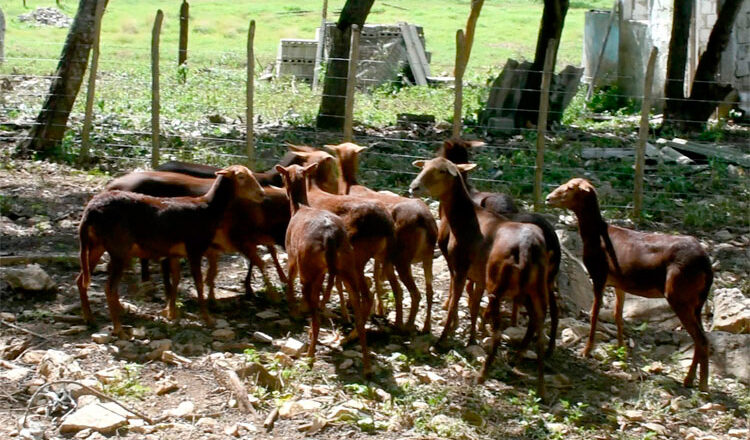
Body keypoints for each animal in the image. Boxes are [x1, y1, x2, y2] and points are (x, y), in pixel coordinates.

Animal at [76, 166, 264, 336]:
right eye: (241, 176)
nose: (261, 193)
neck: (208, 209)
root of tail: (89, 212)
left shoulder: (175, 253)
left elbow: (176, 281)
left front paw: (171, 314)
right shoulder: (194, 248)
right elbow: (199, 284)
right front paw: (207, 319)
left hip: (96, 245)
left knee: (81, 280)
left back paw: (89, 318)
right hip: (118, 248)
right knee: (109, 288)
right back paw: (118, 329)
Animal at [276, 163, 374, 376]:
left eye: (282, 176)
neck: (299, 208)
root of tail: (330, 238)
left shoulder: (292, 256)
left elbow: (289, 280)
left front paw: (293, 311)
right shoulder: (321, 272)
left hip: (308, 268)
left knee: (315, 317)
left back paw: (310, 357)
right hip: (347, 265)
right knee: (359, 315)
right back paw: (367, 367)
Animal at [408, 158, 556, 398]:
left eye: (441, 171)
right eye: (424, 166)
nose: (414, 187)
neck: (467, 218)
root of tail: (527, 247)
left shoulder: (459, 268)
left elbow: (455, 303)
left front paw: (442, 340)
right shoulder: (478, 276)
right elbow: (474, 304)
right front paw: (471, 338)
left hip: (499, 287)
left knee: (497, 332)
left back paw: (483, 374)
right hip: (534, 289)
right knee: (539, 329)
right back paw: (540, 387)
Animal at [548, 177, 712, 390]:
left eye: (570, 188)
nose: (548, 198)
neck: (596, 236)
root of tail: (707, 264)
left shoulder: (599, 275)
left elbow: (594, 313)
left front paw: (586, 351)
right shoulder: (619, 282)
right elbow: (618, 314)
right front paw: (621, 349)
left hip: (678, 295)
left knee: (701, 339)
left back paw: (701, 386)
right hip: (695, 301)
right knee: (701, 337)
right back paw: (690, 380)